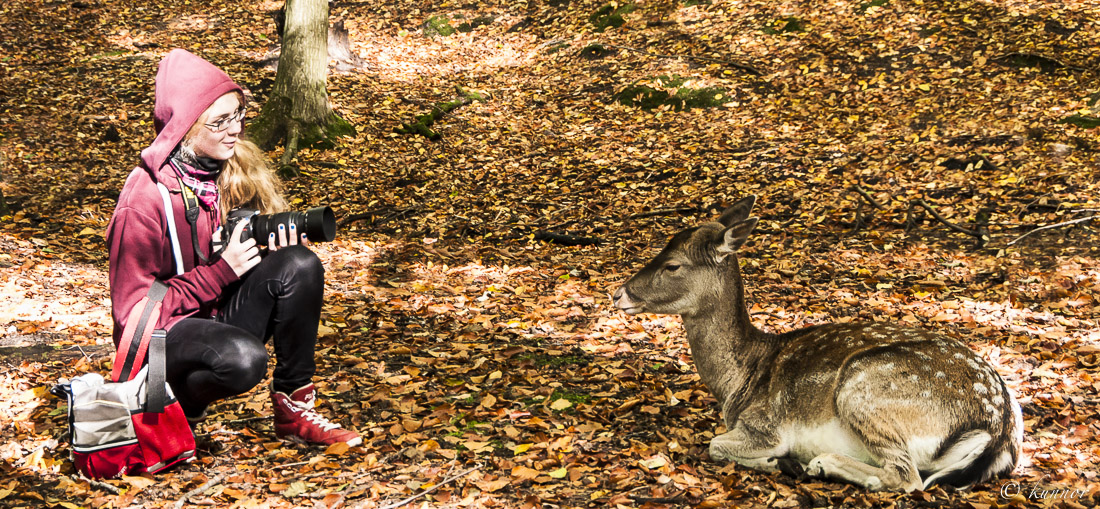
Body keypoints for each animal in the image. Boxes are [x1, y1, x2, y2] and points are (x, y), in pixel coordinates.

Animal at [611, 195, 1020, 490]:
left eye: (673, 265)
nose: (619, 294)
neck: (738, 382)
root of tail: (998, 433)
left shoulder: (765, 425)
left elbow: (716, 444)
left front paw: (778, 461)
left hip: (865, 389)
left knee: (907, 478)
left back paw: (817, 464)